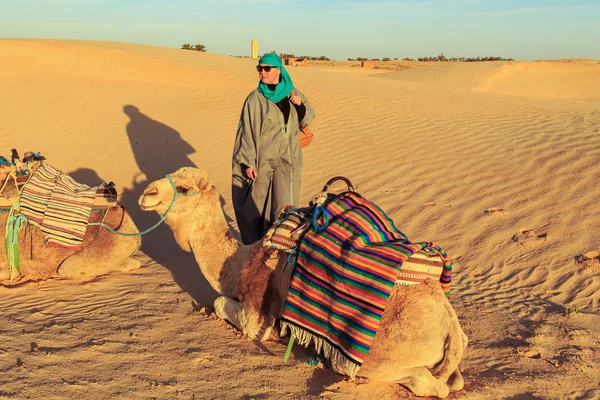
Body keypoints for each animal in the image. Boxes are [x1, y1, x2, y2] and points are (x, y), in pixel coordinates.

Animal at [139, 167, 468, 398]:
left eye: (183, 188)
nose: (146, 193)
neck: (239, 263)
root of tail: (450, 329)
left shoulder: (256, 314)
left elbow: (222, 304)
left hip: (381, 356)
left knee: (429, 384)